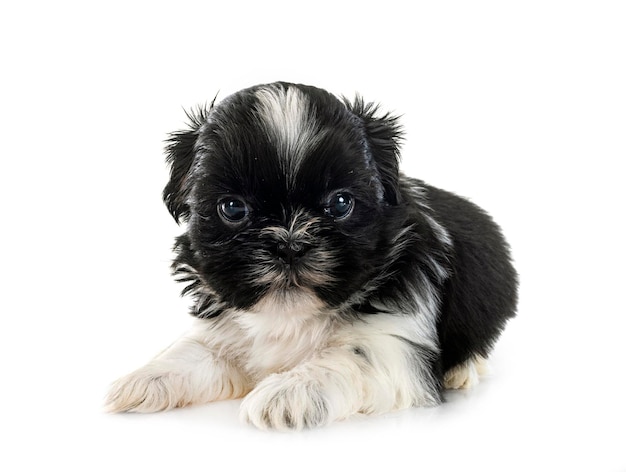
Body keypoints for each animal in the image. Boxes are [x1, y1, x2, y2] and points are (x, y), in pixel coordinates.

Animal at [106, 82, 516, 432]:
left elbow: (351, 356)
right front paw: (144, 379)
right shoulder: (225, 330)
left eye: (340, 203)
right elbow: (193, 351)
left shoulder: (397, 343)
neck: (292, 315)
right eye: (233, 208)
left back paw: (463, 372)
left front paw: (288, 392)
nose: (289, 244)